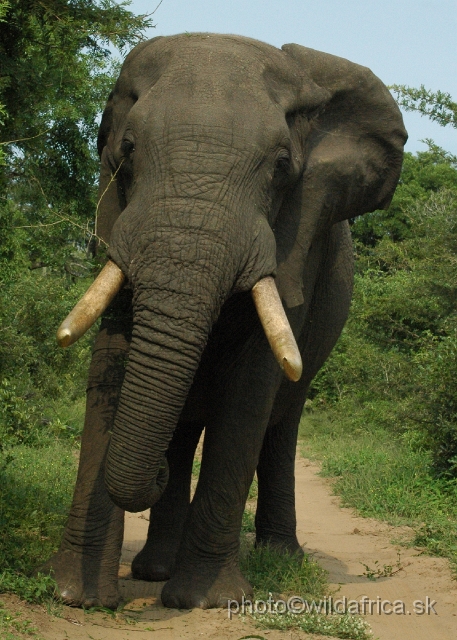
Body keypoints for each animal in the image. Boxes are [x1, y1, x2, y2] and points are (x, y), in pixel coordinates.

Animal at [41, 33, 406, 608]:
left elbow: (249, 391)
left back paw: (279, 558)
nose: (157, 473)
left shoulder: (296, 239)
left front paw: (206, 601)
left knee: (282, 425)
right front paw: (78, 596)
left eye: (281, 165)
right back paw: (154, 568)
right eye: (127, 151)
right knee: (186, 427)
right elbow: (113, 359)